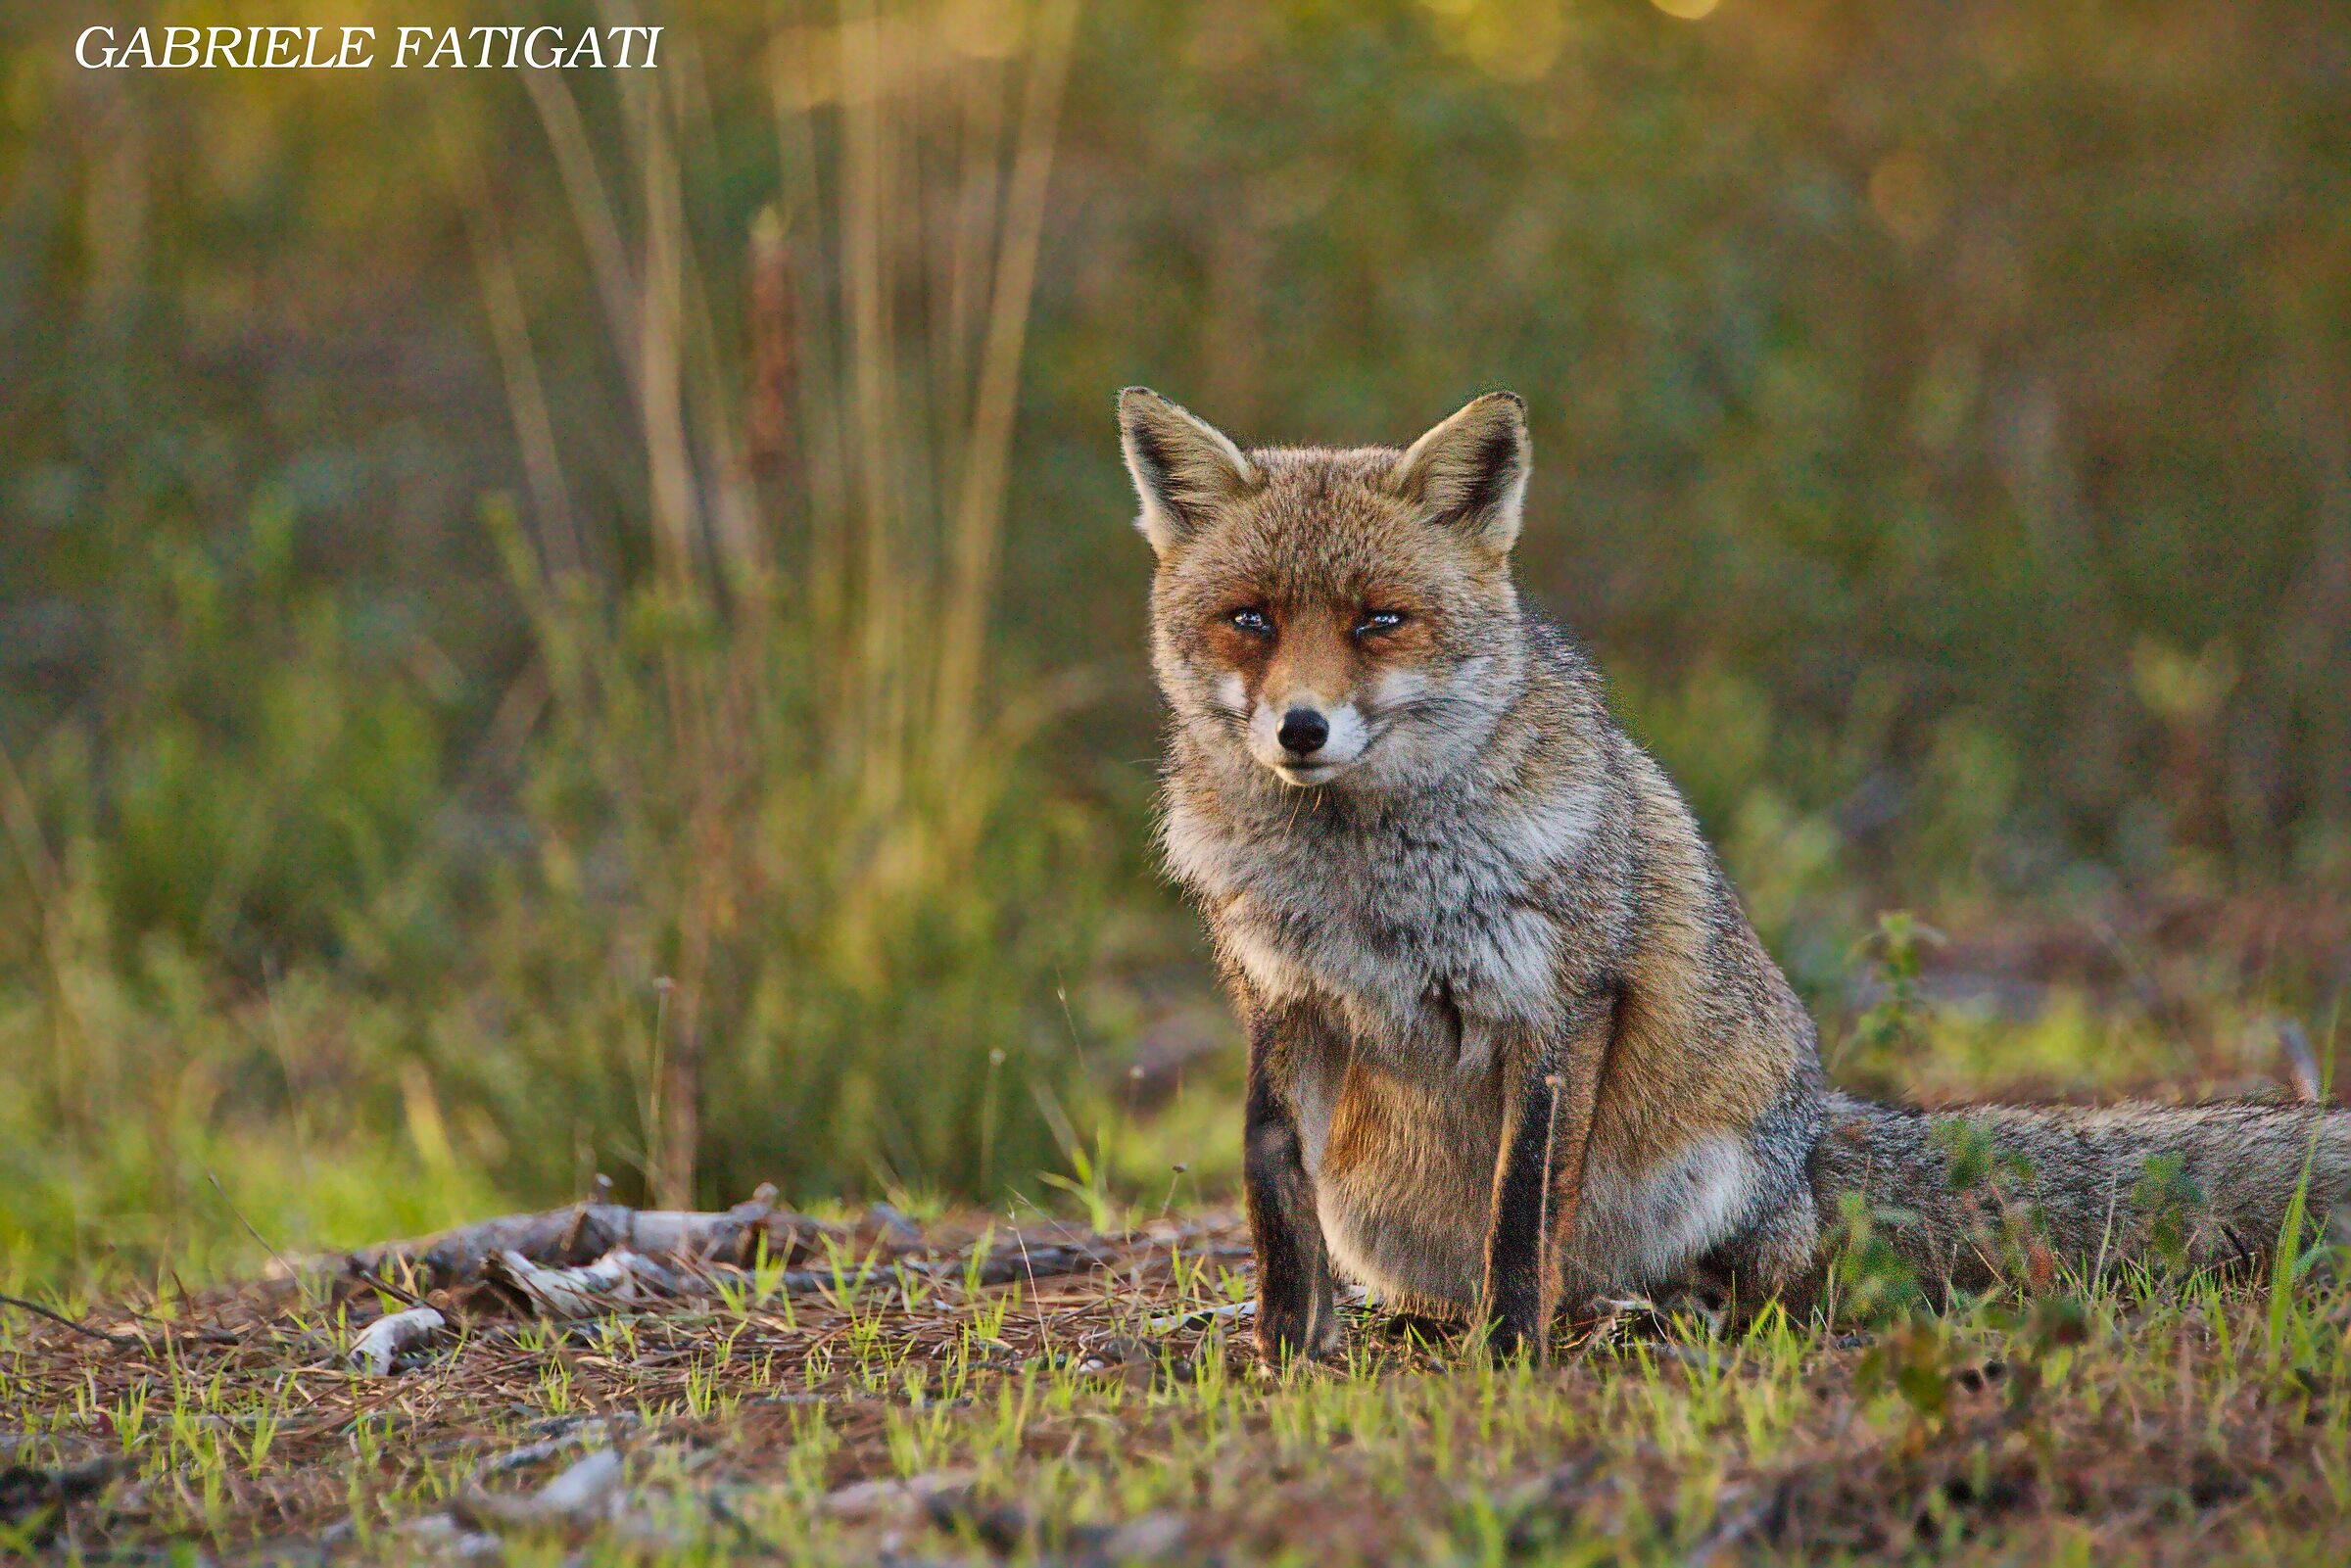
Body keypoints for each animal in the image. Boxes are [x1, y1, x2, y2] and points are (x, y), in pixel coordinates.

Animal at [1117, 385, 2351, 1363]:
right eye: (1250, 619)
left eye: (1380, 621)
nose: (1302, 729)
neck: (1365, 880)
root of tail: (1813, 1126)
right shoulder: (1288, 1002)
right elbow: (1274, 1190)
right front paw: (1286, 1352)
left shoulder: (1561, 1004)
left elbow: (1522, 1215)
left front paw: (1511, 1355)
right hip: (1379, 1211)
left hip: (1713, 1180)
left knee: (1748, 1277)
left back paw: (1652, 1313)